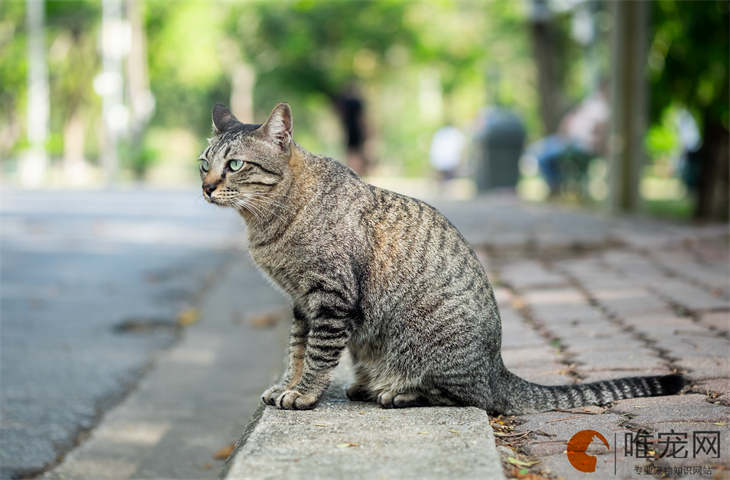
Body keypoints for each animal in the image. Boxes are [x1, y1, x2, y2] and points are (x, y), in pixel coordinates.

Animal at [199, 103, 684, 414]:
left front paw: (303, 394)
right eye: (204, 163)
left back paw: (396, 393)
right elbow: (296, 350)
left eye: (236, 165)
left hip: (433, 350)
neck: (268, 222)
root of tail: (497, 368)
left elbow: (317, 355)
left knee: (474, 399)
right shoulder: (301, 302)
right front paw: (287, 384)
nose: (205, 186)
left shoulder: (330, 299)